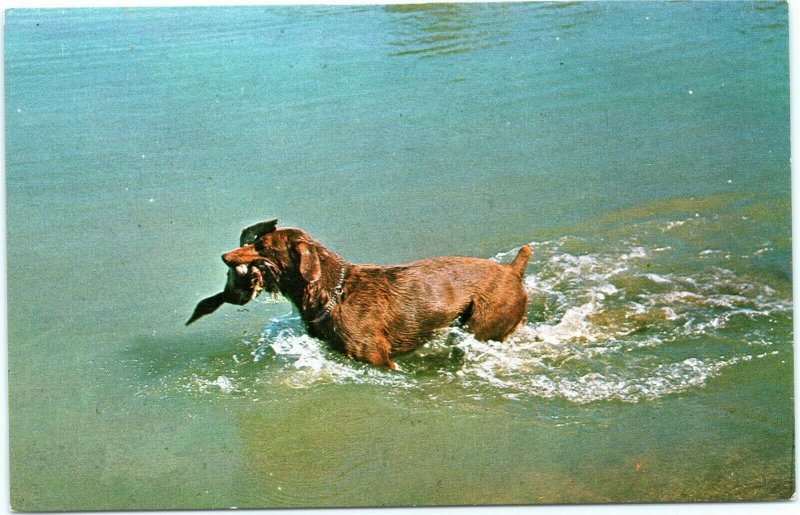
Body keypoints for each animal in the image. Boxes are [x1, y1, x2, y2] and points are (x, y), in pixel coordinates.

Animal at [188, 220, 532, 368]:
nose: (224, 256)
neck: (332, 293)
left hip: (485, 324)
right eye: (254, 241)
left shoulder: (376, 357)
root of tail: (513, 270)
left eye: (261, 246)